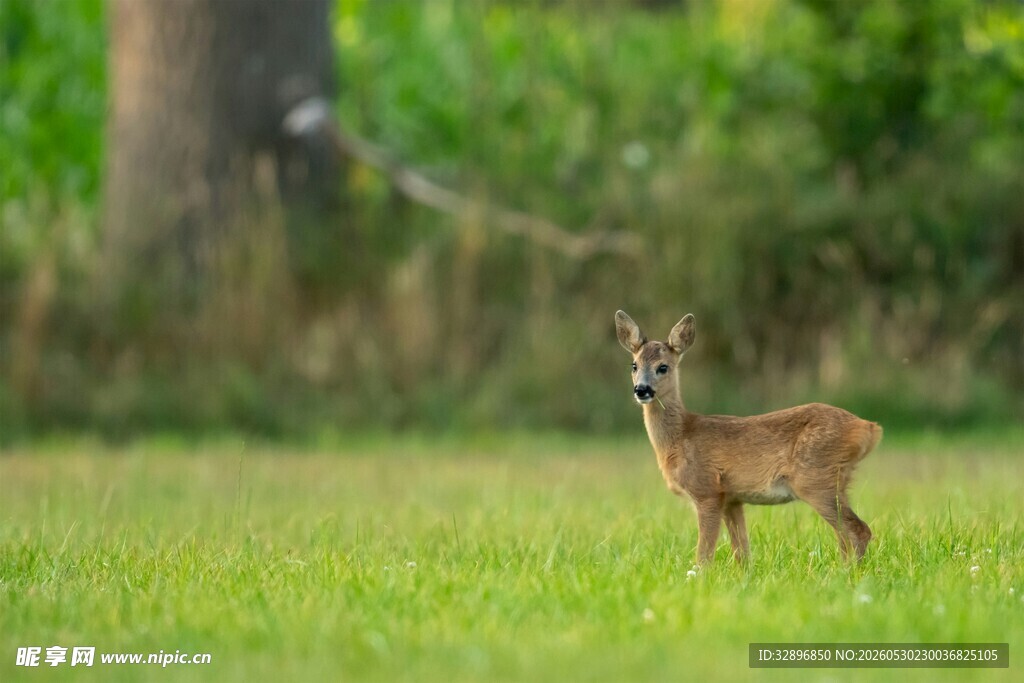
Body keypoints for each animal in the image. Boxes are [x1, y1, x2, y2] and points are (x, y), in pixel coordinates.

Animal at [614, 310, 882, 565]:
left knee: (859, 530)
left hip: (816, 479)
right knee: (844, 536)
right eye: (634, 365)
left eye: (663, 367)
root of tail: (869, 427)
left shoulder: (707, 490)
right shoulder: (732, 499)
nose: (641, 390)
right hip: (836, 481)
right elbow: (742, 555)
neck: (681, 437)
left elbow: (704, 555)